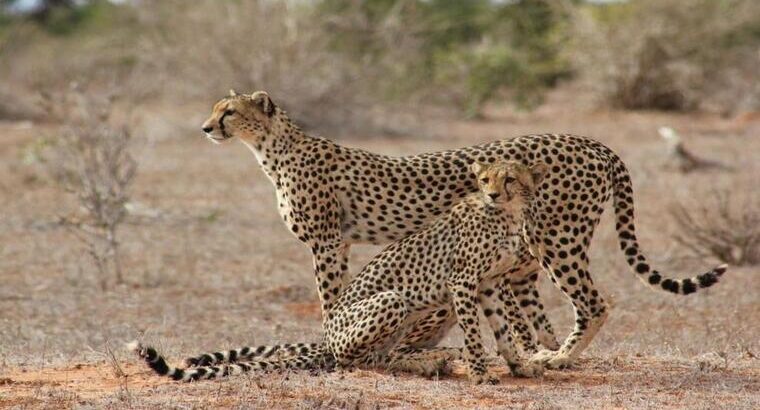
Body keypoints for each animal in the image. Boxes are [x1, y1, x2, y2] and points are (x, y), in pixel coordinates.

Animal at [131, 161, 548, 384]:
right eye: (485, 180)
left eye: (509, 179)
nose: (492, 194)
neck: (507, 215)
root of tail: (327, 335)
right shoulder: (463, 282)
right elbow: (476, 336)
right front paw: (480, 373)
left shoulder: (489, 284)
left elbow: (503, 331)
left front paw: (519, 366)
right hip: (391, 300)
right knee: (358, 361)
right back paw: (426, 362)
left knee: (386, 352)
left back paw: (431, 359)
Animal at [194, 90, 724, 368]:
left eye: (229, 111)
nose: (206, 128)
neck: (273, 148)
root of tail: (589, 140)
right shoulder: (340, 244)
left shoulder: (327, 242)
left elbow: (331, 302)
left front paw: (325, 350)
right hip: (530, 255)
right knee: (543, 313)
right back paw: (546, 355)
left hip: (558, 240)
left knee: (592, 303)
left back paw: (558, 358)